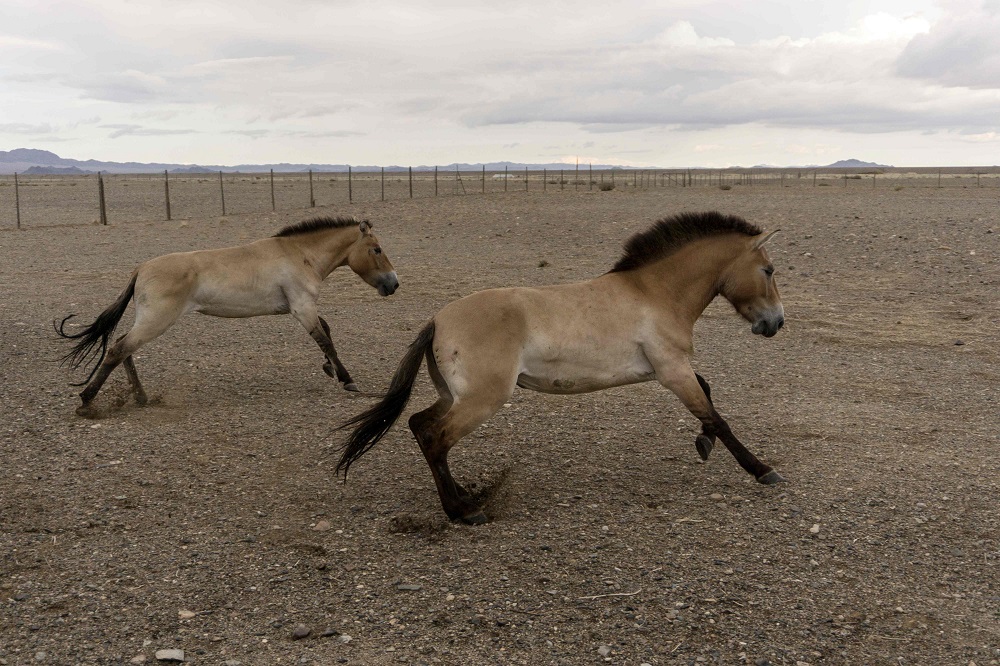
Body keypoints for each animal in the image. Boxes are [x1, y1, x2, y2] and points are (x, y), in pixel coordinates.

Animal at [56, 216, 398, 417]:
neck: (300, 255)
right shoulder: (303, 307)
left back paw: (140, 397)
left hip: (149, 322)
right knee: (118, 349)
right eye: (377, 249)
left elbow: (327, 335)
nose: (394, 283)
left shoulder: (302, 308)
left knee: (124, 347)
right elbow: (326, 340)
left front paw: (331, 370)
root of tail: (141, 268)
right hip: (156, 321)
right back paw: (87, 401)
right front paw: (348, 380)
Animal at [336, 211, 784, 524]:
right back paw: (463, 511)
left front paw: (704, 443)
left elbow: (707, 395)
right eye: (768, 270)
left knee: (419, 425)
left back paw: (463, 496)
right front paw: (762, 471)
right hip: (482, 399)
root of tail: (437, 320)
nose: (776, 322)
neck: (654, 293)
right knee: (436, 438)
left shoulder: (667, 370)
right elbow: (717, 414)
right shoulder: (673, 370)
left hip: (453, 395)